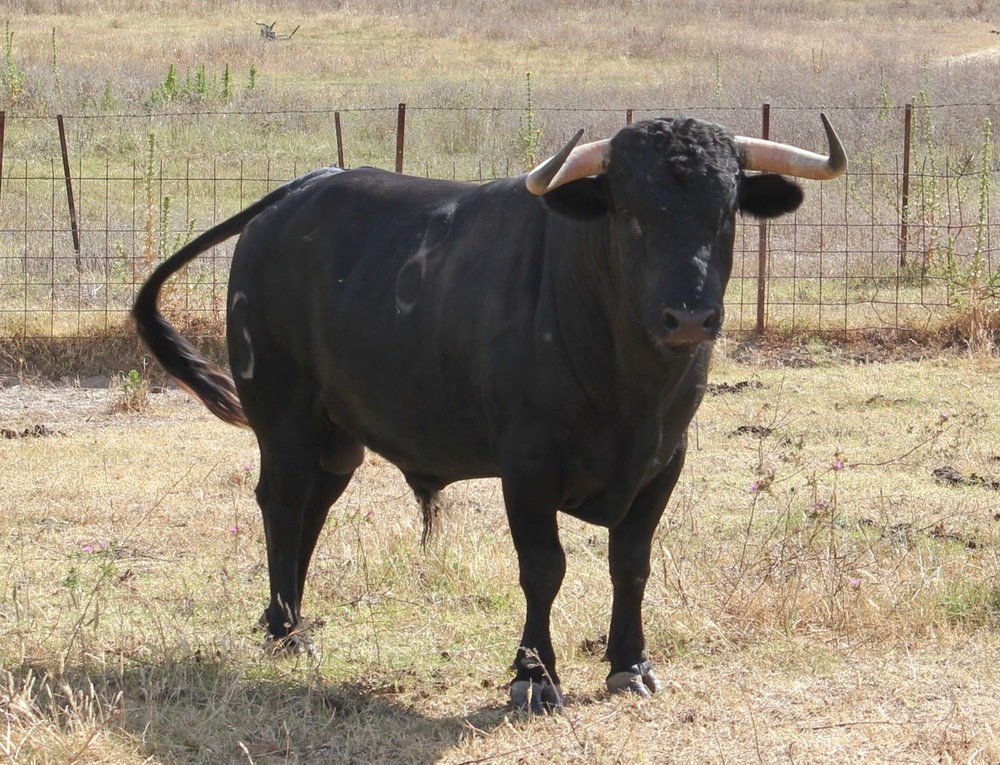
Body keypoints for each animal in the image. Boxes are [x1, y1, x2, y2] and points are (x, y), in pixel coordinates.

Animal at [135, 115, 844, 712]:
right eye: (630, 211)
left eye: (725, 211)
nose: (690, 317)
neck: (630, 387)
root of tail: (300, 190)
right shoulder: (527, 465)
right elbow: (544, 568)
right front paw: (535, 676)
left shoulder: (665, 458)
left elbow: (631, 562)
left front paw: (631, 665)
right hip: (283, 413)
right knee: (281, 503)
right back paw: (287, 628)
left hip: (336, 434)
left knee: (312, 508)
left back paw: (288, 619)